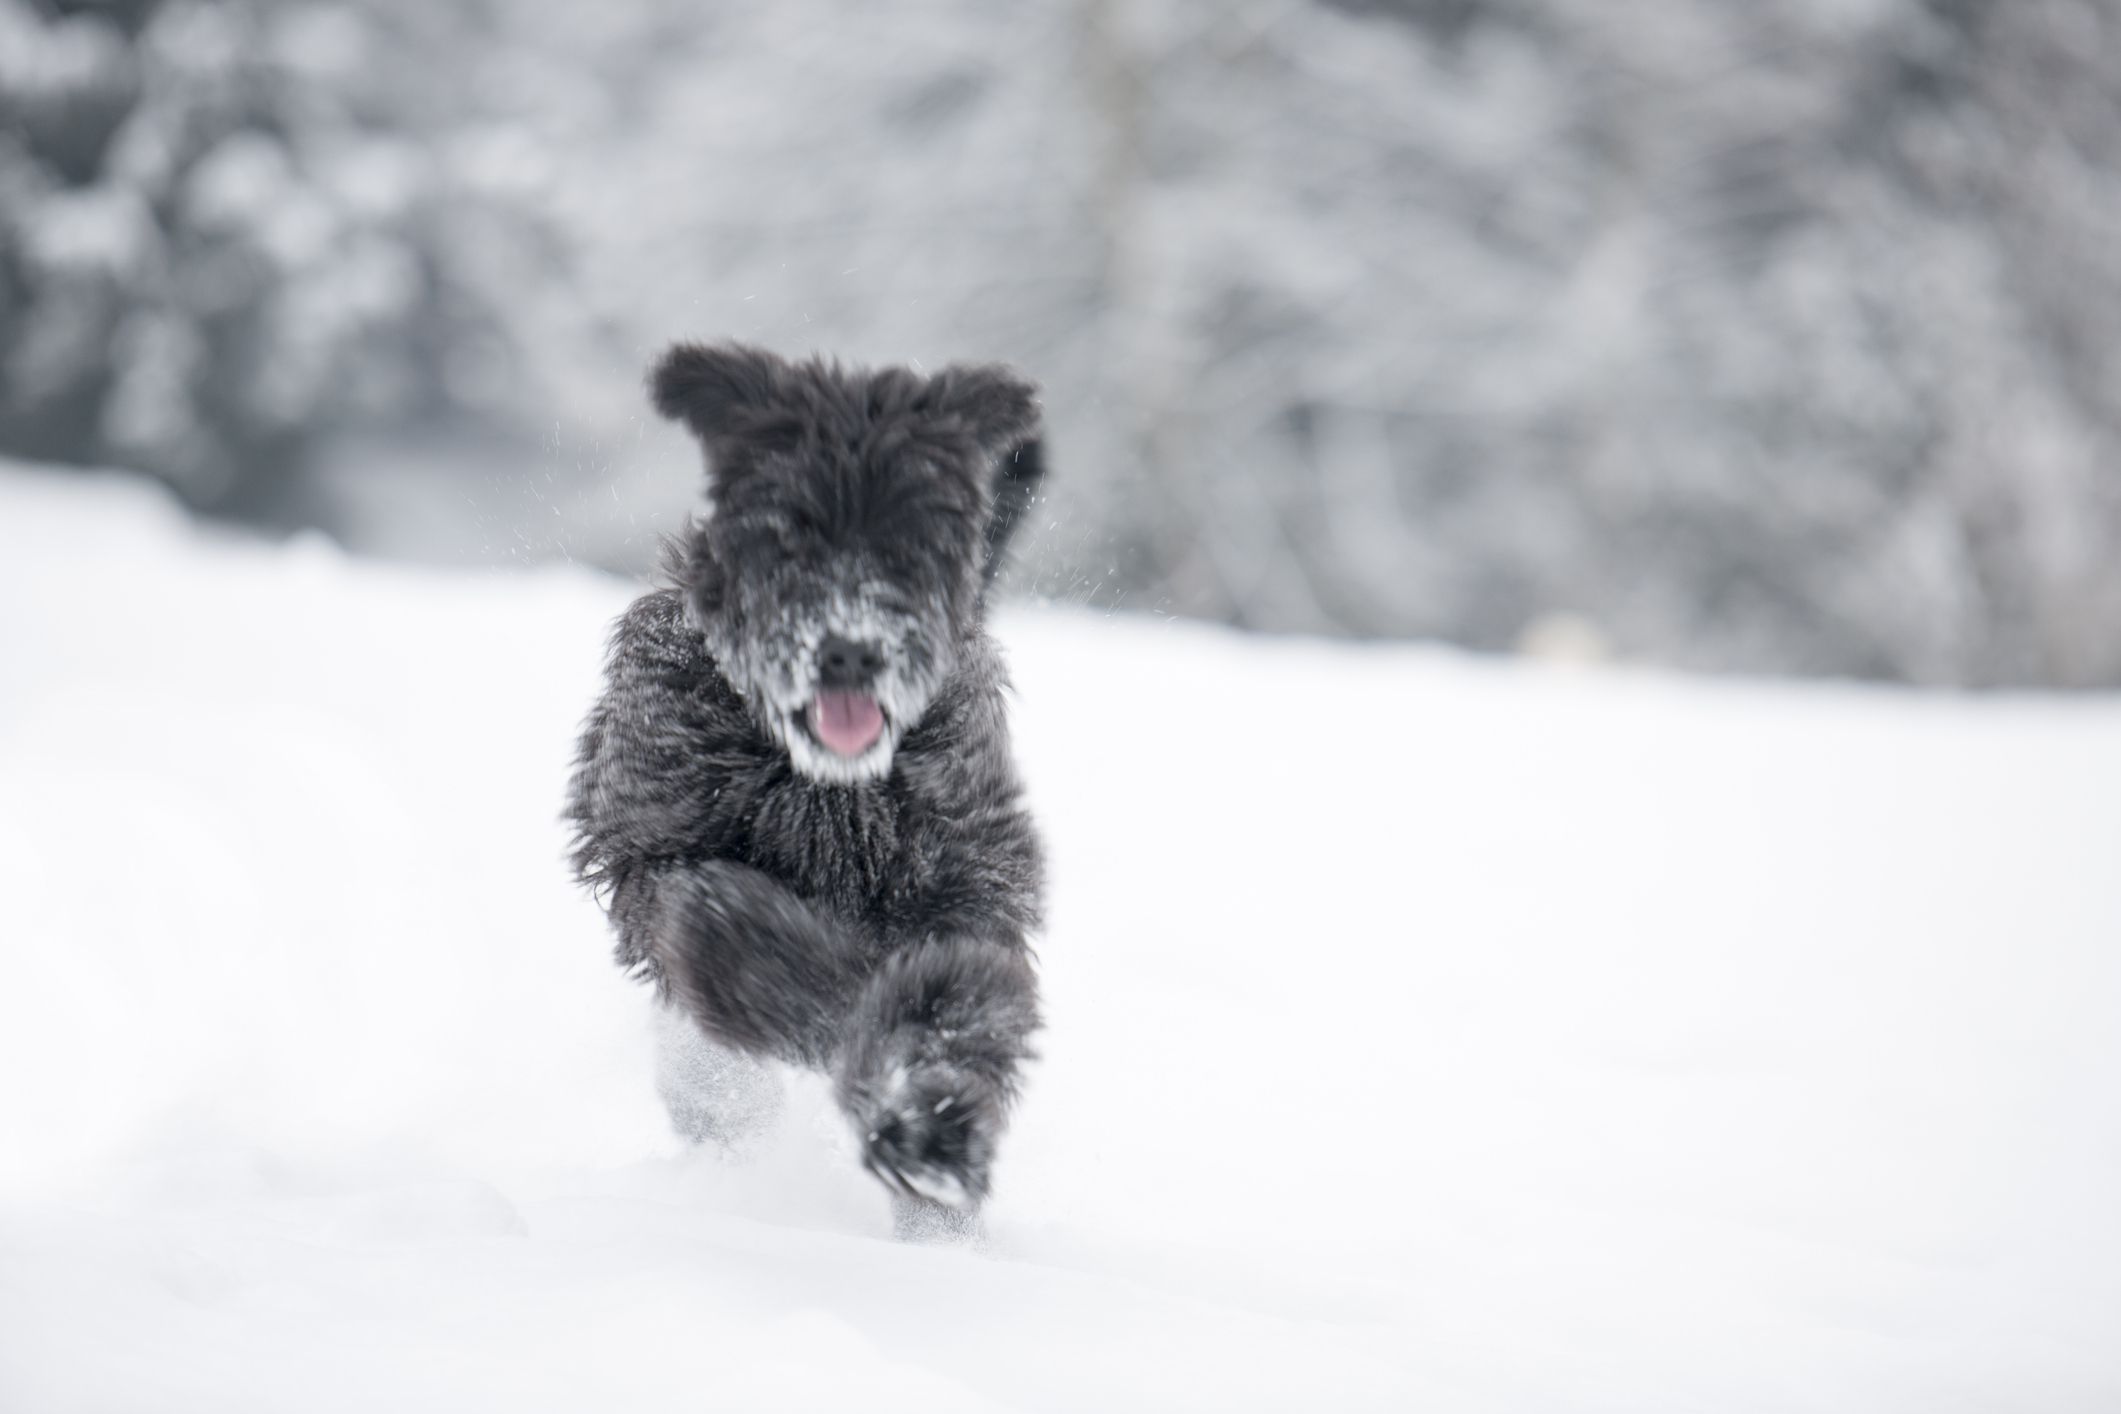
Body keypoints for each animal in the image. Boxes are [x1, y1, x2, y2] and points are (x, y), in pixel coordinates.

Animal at [568, 337, 1047, 1229]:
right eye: (786, 533)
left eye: (909, 536)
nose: (849, 650)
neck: (828, 788)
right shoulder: (661, 851)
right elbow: (731, 927)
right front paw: (838, 1012)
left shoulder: (969, 873)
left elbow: (954, 992)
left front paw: (926, 1128)